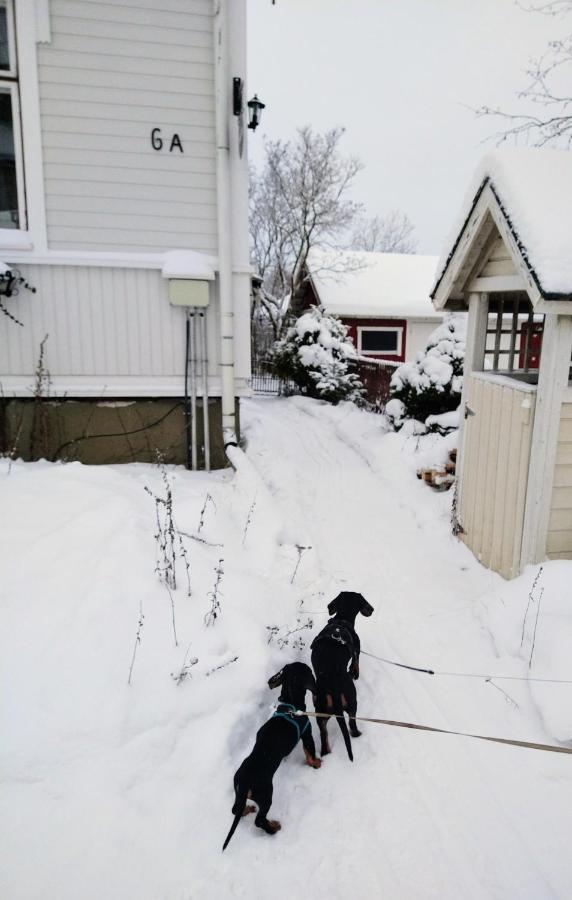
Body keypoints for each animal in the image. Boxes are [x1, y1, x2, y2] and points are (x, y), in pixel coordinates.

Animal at [223, 660, 322, 852]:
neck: (290, 705)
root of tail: (245, 783)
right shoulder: (307, 734)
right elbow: (310, 751)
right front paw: (316, 764)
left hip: (239, 791)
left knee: (235, 808)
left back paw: (247, 809)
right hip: (266, 795)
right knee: (259, 820)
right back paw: (273, 828)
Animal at [310, 592, 374, 760]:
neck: (341, 620)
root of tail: (334, 690)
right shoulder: (357, 649)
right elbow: (356, 662)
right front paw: (354, 672)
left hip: (321, 712)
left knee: (323, 734)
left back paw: (325, 752)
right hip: (353, 703)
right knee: (352, 726)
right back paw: (358, 734)